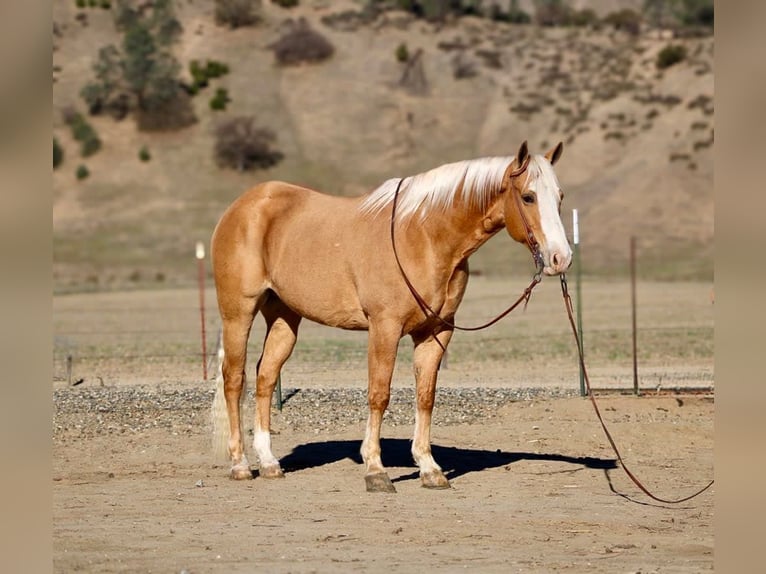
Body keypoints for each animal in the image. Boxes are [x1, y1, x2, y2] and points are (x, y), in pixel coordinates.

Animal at [213, 142, 572, 492]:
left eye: (559, 197)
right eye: (528, 197)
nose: (561, 258)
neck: (425, 237)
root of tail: (242, 207)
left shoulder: (436, 332)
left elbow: (425, 396)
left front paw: (429, 469)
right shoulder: (384, 328)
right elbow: (379, 394)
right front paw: (375, 470)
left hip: (284, 318)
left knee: (265, 376)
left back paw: (269, 463)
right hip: (238, 313)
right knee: (234, 380)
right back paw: (240, 465)